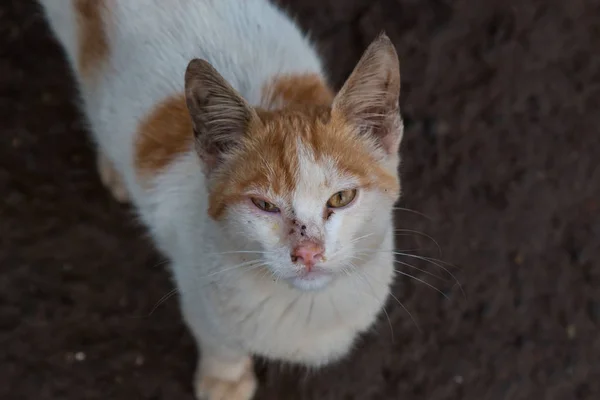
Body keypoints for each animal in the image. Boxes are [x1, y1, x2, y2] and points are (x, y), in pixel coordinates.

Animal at [37, 0, 404, 400]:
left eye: (341, 197)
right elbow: (219, 341)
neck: (309, 306)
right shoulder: (197, 292)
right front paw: (224, 380)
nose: (308, 253)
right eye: (264, 205)